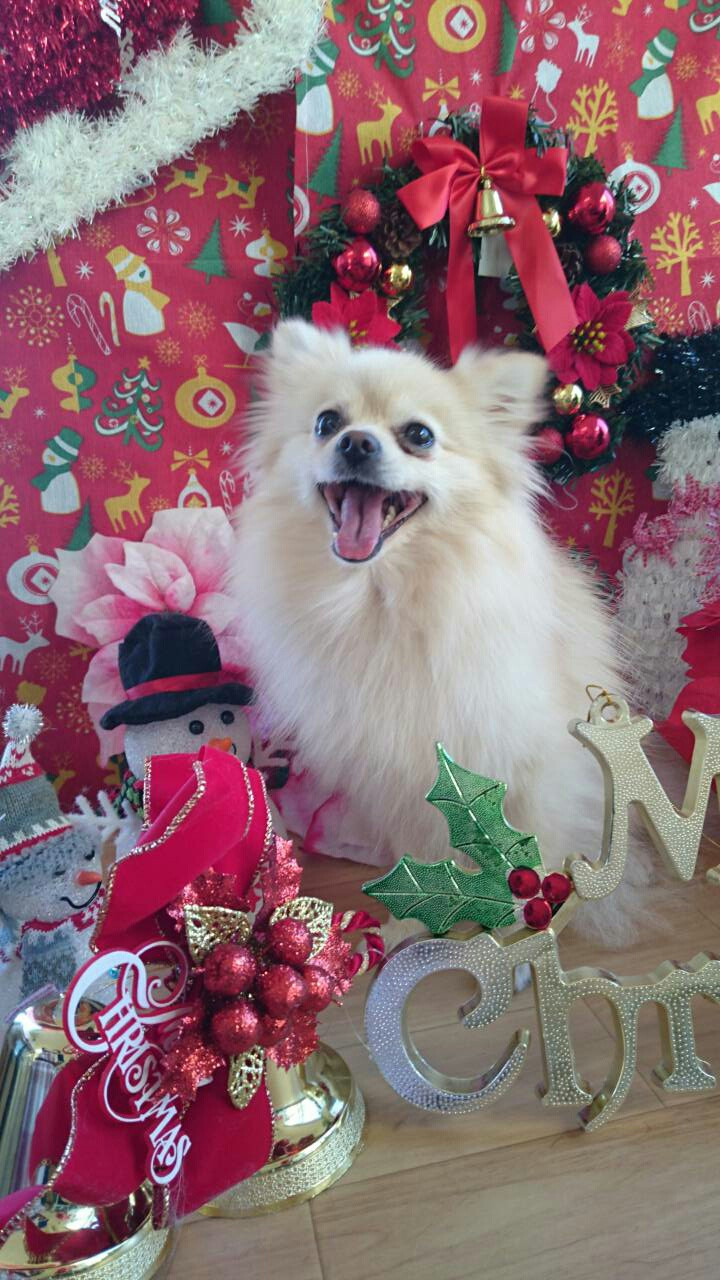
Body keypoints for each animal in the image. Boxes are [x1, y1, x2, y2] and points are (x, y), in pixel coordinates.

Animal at [235, 320, 653, 945]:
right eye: (326, 422)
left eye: (420, 435)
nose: (356, 443)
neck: (381, 601)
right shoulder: (397, 770)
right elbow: (422, 848)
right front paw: (409, 929)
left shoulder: (521, 758)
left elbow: (533, 842)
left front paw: (525, 929)